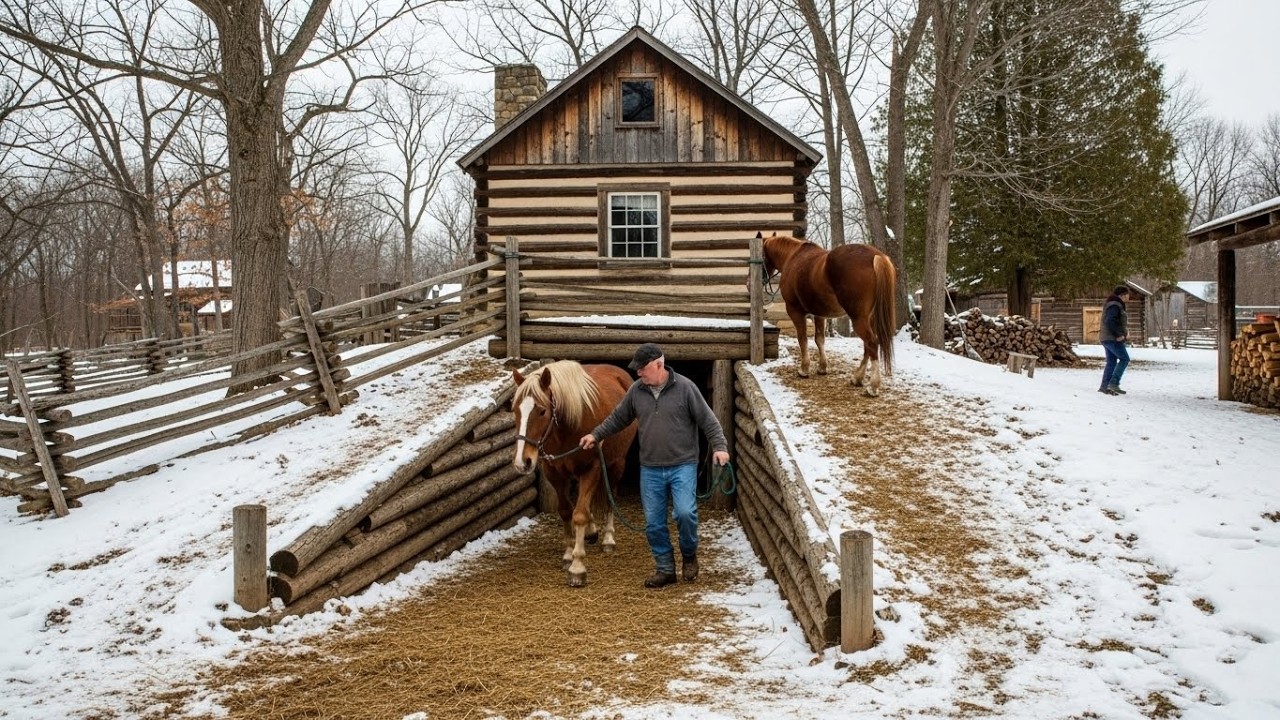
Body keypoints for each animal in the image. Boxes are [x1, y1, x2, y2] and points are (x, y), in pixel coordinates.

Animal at [511, 360, 637, 587]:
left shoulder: (592, 469)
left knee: (610, 497)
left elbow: (578, 514)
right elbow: (566, 511)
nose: (522, 462)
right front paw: (569, 554)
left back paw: (608, 538)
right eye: (515, 410)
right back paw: (592, 531)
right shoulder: (554, 473)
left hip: (616, 464)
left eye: (541, 411)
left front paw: (577, 567)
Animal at [760, 234, 897, 396]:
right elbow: (819, 339)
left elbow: (802, 339)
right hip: (870, 318)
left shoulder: (795, 311)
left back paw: (873, 386)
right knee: (867, 346)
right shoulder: (819, 314)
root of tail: (876, 256)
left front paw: (804, 369)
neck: (793, 256)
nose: (749, 283)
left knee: (871, 343)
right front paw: (822, 367)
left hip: (859, 319)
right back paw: (857, 378)